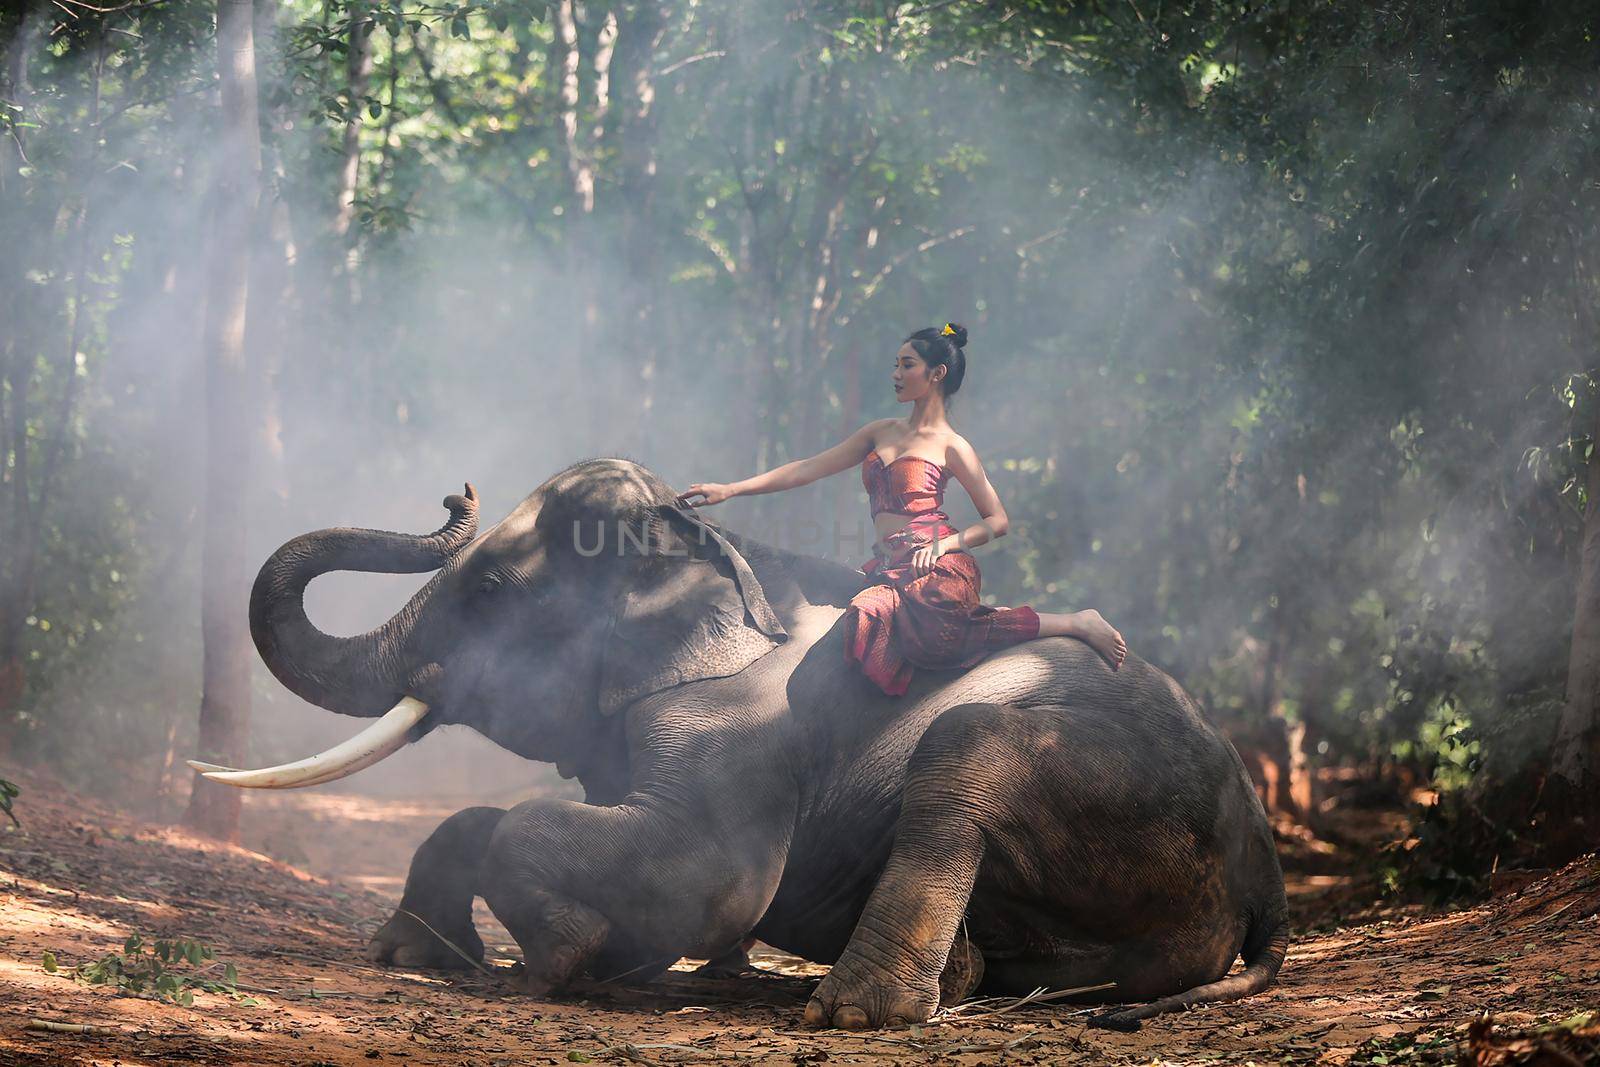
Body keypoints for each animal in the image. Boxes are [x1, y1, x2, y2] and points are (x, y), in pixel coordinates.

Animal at [200, 460, 1292, 1036]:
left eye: (493, 593)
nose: (453, 494)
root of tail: (1264, 868)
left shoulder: (739, 730)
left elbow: (705, 877)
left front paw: (574, 955)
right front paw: (416, 953)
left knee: (963, 746)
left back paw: (851, 1010)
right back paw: (964, 975)